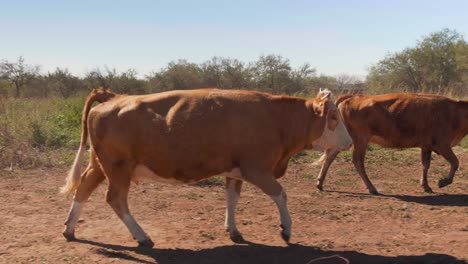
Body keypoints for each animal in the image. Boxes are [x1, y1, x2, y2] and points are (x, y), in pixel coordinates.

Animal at [61, 88, 352, 248]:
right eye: (333, 117)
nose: (349, 142)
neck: (276, 118)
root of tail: (115, 97)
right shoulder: (257, 169)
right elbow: (280, 194)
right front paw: (286, 229)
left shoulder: (235, 171)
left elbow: (232, 199)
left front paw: (233, 230)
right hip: (118, 168)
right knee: (116, 199)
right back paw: (142, 237)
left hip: (100, 165)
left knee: (83, 188)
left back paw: (70, 229)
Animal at [312, 93, 468, 194]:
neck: (454, 112)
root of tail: (352, 97)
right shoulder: (442, 145)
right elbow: (455, 162)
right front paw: (443, 182)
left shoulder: (426, 146)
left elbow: (425, 164)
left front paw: (426, 186)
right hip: (360, 140)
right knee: (357, 161)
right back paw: (372, 188)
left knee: (330, 157)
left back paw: (320, 183)